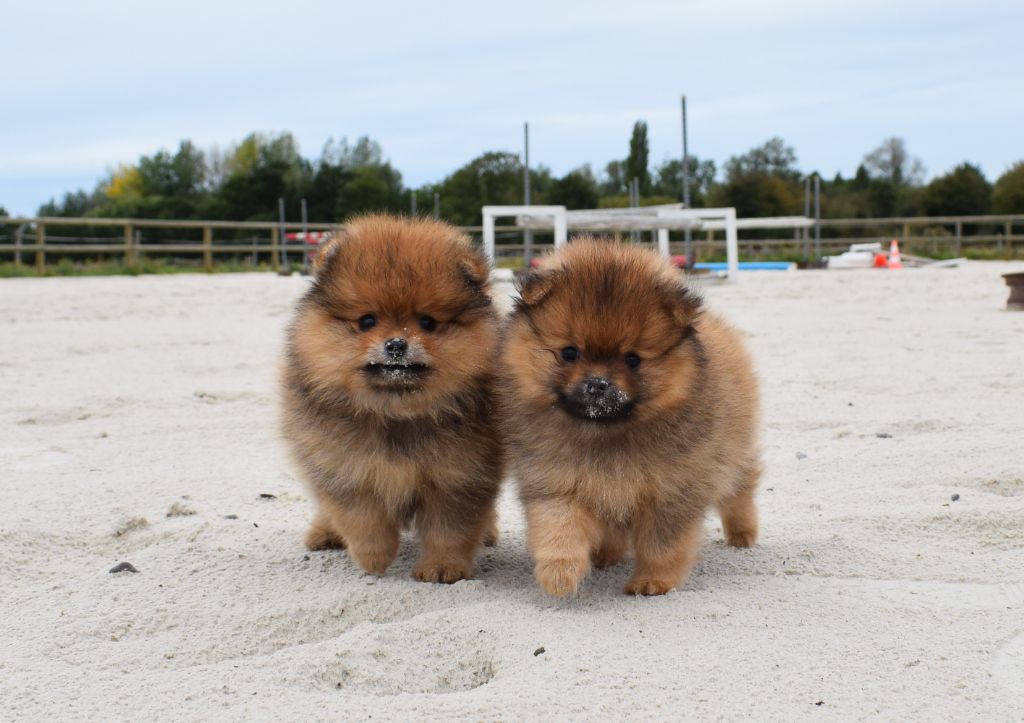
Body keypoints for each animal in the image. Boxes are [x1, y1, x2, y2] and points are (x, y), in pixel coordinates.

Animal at [280, 213, 503, 581]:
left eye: (427, 322)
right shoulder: (346, 469)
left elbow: (449, 530)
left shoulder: (459, 476)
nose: (396, 344)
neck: (397, 412)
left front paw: (441, 568)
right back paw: (324, 533)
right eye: (367, 320)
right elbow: (363, 520)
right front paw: (374, 558)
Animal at [499, 239, 765, 593]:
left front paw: (651, 581)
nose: (598, 383)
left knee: (741, 488)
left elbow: (661, 544)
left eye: (633, 359)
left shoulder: (671, 491)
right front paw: (559, 573)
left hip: (734, 451)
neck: (605, 432)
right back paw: (605, 555)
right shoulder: (555, 480)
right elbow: (559, 527)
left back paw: (741, 533)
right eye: (569, 352)